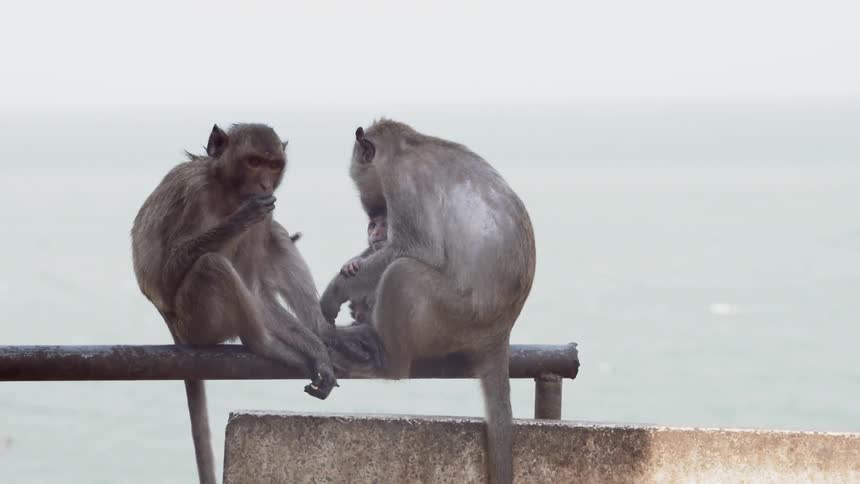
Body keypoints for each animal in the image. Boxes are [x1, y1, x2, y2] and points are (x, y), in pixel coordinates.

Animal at [131, 123, 337, 484]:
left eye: (273, 165)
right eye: (254, 162)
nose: (265, 185)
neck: (225, 189)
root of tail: (173, 328)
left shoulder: (267, 216)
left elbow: (255, 285)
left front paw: (318, 351)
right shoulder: (194, 195)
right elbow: (168, 272)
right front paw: (240, 218)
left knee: (271, 241)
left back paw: (319, 333)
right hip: (197, 323)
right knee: (212, 265)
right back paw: (263, 344)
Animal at [320, 120, 536, 484]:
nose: (371, 217)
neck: (405, 145)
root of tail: (499, 331)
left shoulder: (402, 181)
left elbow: (415, 248)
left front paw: (338, 290)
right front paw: (351, 270)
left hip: (453, 320)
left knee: (402, 273)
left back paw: (386, 360)